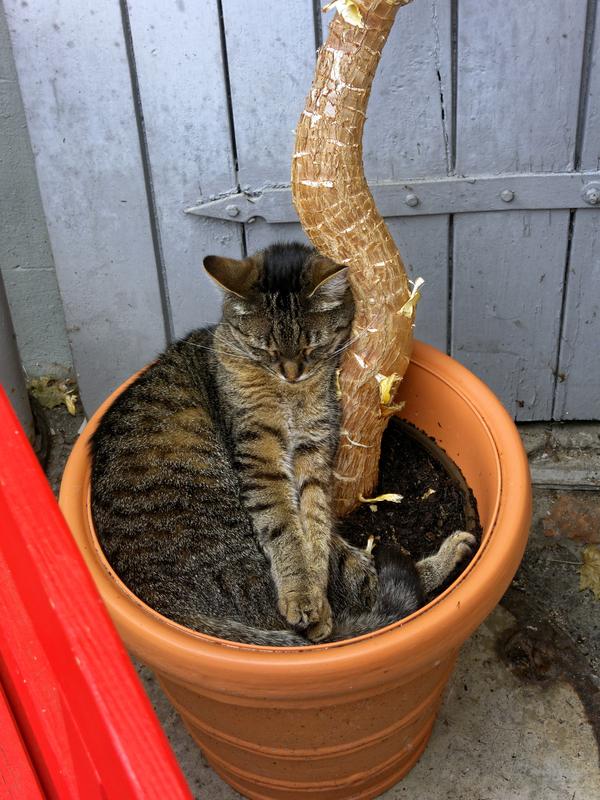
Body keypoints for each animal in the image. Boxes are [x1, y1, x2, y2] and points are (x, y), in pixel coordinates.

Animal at [91, 242, 475, 646]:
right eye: (266, 350)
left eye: (312, 346)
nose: (292, 373)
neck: (290, 393)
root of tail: (171, 606)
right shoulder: (259, 454)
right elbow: (285, 529)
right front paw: (304, 594)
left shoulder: (314, 448)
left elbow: (316, 528)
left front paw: (314, 587)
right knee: (370, 587)